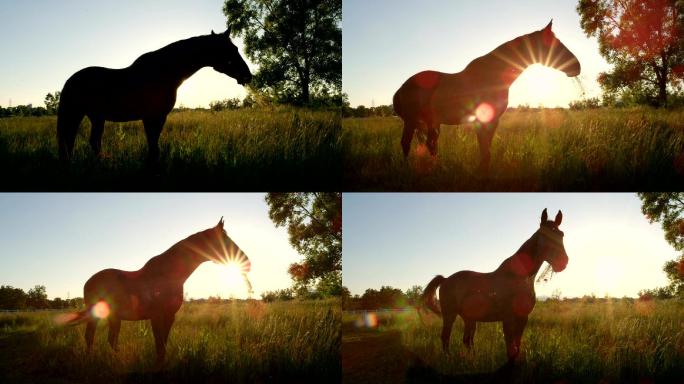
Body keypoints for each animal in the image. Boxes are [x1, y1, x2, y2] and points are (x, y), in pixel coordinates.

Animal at [57, 27, 252, 162]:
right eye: (231, 49)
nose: (248, 75)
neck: (164, 72)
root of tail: (71, 80)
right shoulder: (152, 117)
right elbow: (153, 147)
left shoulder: (157, 117)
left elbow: (154, 146)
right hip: (78, 115)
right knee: (72, 141)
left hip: (96, 117)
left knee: (88, 142)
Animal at [63, 218, 251, 364]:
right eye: (225, 239)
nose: (246, 262)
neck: (167, 275)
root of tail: (88, 281)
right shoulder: (156, 316)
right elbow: (159, 345)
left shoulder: (169, 316)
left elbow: (163, 346)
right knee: (90, 337)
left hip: (114, 317)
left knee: (110, 340)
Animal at [392, 20, 580, 171]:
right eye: (555, 44)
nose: (577, 67)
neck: (492, 74)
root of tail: (402, 87)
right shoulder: (484, 120)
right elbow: (484, 150)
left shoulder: (492, 120)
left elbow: (486, 149)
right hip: (412, 121)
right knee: (406, 143)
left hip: (430, 123)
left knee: (430, 145)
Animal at [422, 208, 568, 364]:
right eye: (543, 234)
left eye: (561, 234)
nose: (562, 262)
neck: (520, 277)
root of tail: (445, 279)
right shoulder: (508, 318)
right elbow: (510, 348)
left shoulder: (523, 318)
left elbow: (517, 346)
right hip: (450, 315)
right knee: (446, 337)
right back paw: (448, 359)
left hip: (469, 318)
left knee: (467, 341)